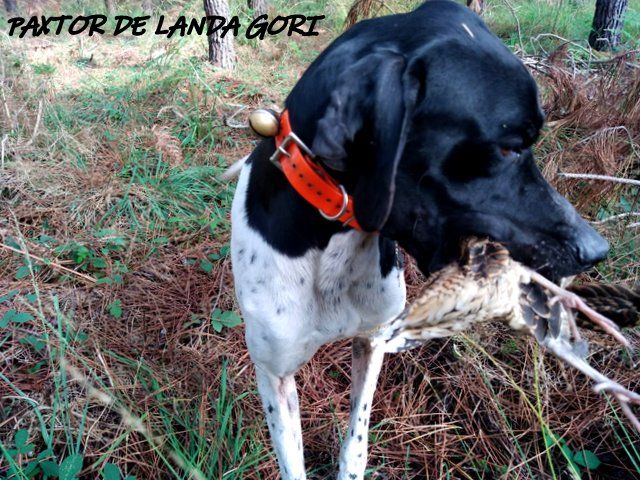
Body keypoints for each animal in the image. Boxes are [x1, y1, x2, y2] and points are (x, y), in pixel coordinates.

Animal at [228, 1, 608, 478]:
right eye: (507, 148)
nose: (596, 250)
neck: (332, 246)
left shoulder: (369, 341)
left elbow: (355, 443)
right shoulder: (275, 375)